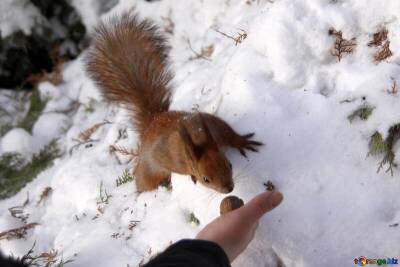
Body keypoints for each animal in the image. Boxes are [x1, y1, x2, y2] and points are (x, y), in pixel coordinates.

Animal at [85, 11, 260, 195]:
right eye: (206, 179)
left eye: (230, 165)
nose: (229, 188)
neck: (198, 140)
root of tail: (153, 120)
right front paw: (192, 176)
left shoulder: (212, 127)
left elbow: (227, 132)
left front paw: (241, 141)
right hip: (148, 172)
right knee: (145, 181)